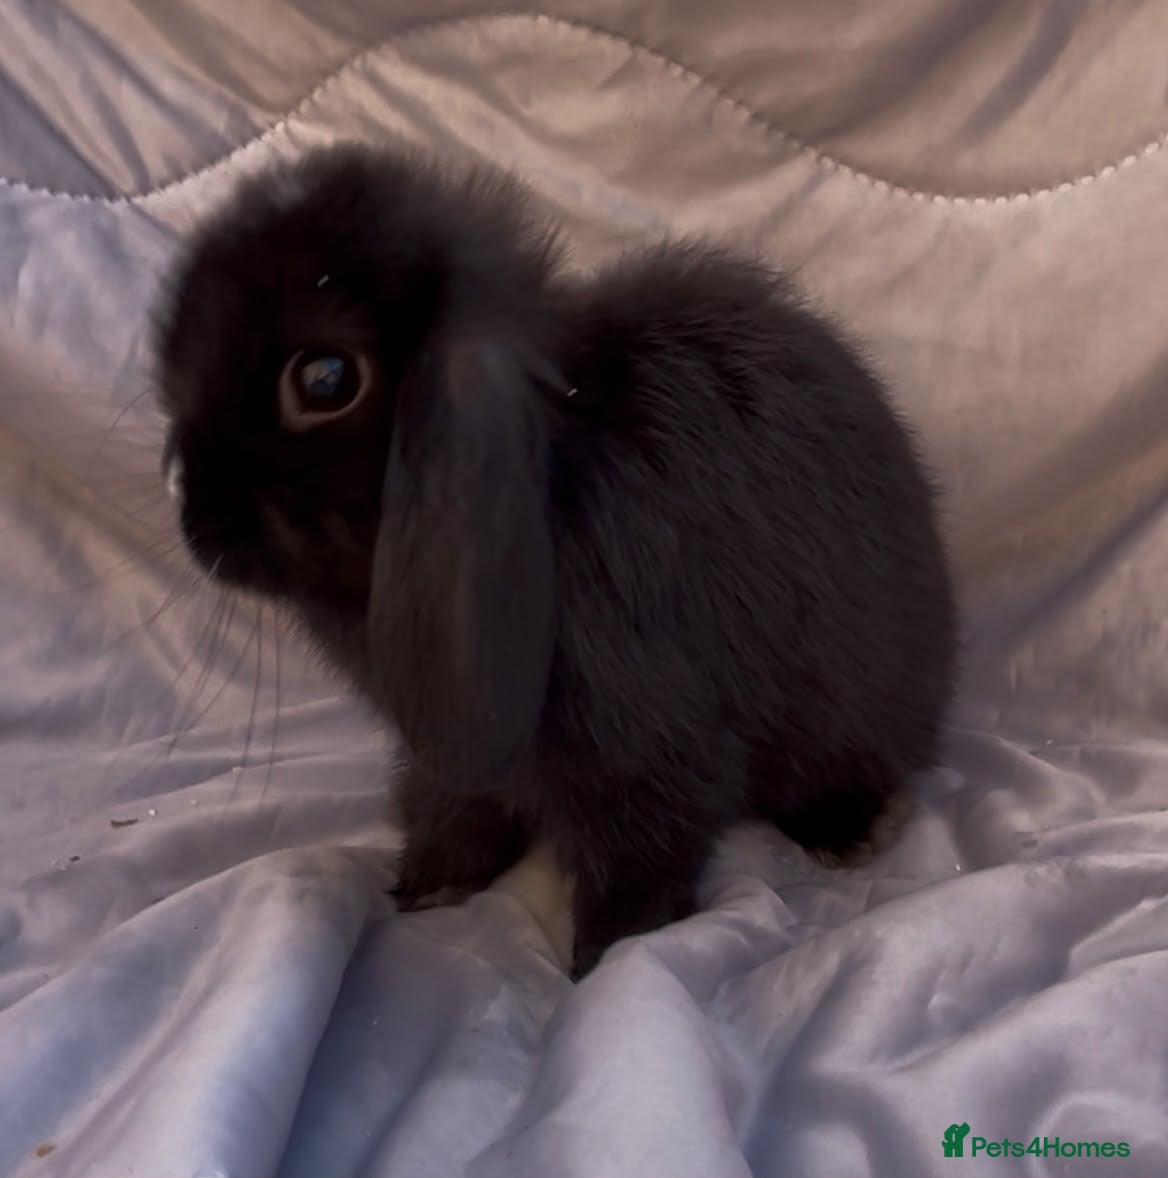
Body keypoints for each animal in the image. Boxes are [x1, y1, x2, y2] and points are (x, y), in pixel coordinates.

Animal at [153, 142, 958, 979]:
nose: (178, 490)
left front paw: (606, 958)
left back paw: (848, 829)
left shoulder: (643, 735)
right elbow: (454, 809)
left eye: (325, 379)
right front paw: (428, 885)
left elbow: (643, 847)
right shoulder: (451, 750)